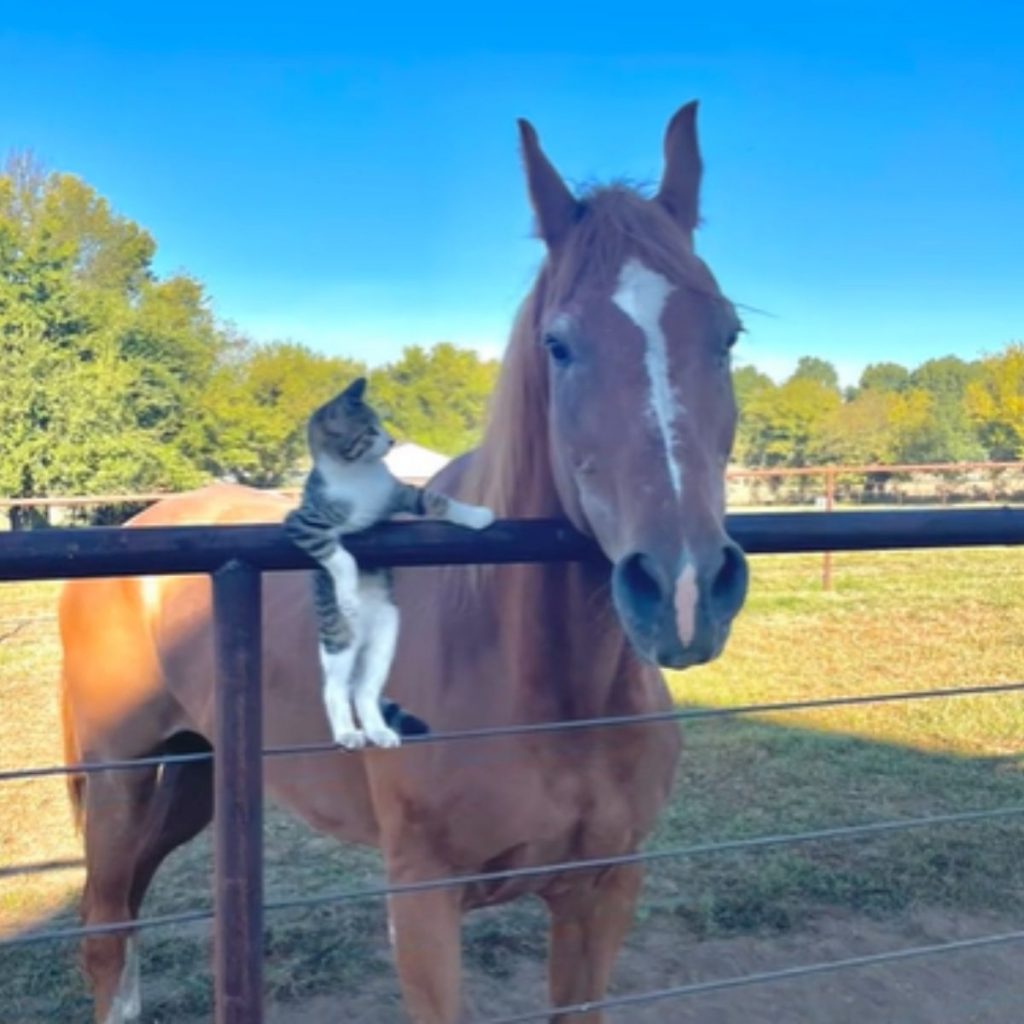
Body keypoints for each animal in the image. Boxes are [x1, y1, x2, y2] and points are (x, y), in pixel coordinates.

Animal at [282, 376, 493, 753]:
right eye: (370, 430)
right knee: (336, 689)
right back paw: (347, 732)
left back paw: (378, 731)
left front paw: (475, 515)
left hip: (386, 637)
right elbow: (338, 554)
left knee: (365, 691)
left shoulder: (401, 494)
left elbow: (436, 500)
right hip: (339, 637)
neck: (357, 474)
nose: (391, 440)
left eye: (380, 425)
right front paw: (348, 590)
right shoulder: (302, 523)